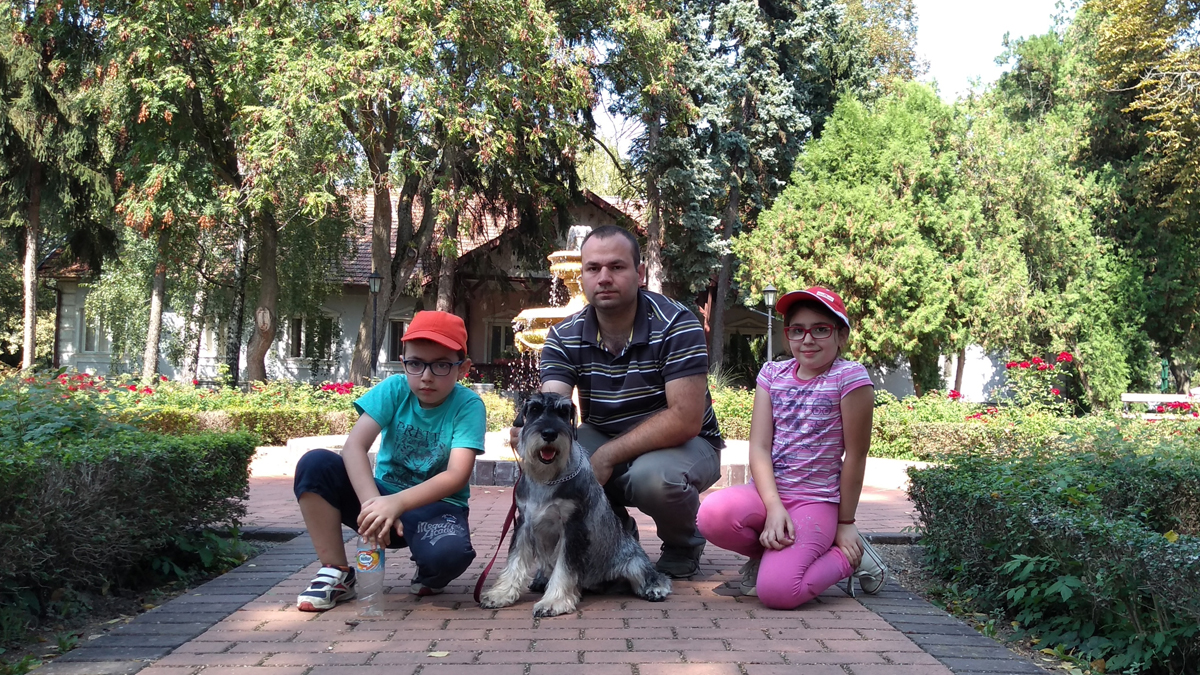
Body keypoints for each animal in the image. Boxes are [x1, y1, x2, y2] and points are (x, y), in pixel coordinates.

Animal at [477, 389, 672, 614]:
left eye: (563, 412)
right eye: (534, 409)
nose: (549, 433)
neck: (548, 478)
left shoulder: (572, 529)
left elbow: (564, 569)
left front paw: (553, 602)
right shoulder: (524, 524)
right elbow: (514, 561)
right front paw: (500, 594)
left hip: (633, 562)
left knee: (650, 574)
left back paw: (655, 588)